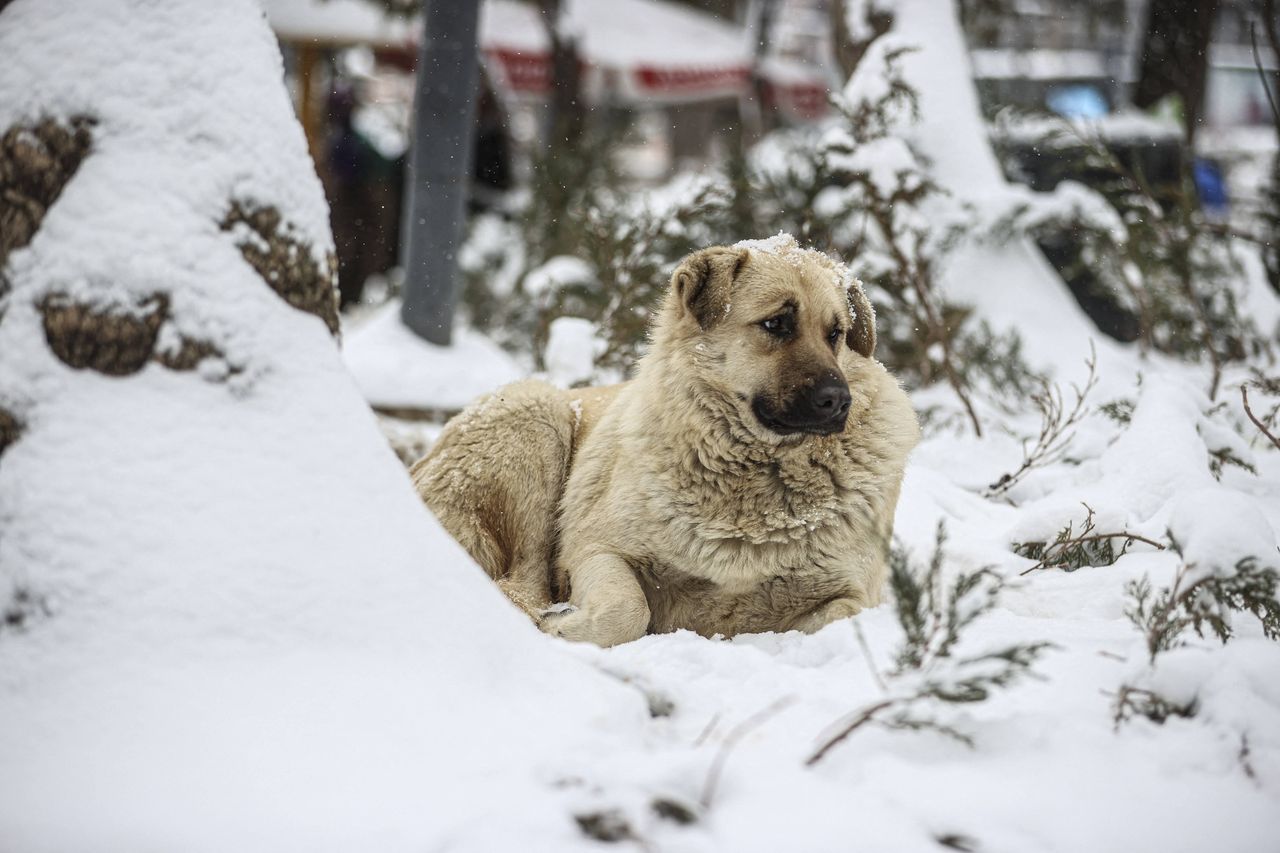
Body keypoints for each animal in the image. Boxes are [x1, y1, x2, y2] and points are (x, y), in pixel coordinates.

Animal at [414, 233, 926, 645]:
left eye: (836, 333)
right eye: (777, 324)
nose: (838, 402)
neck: (757, 476)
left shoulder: (856, 595)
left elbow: (841, 618)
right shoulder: (594, 550)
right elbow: (628, 611)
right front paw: (565, 627)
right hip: (536, 418)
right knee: (517, 584)